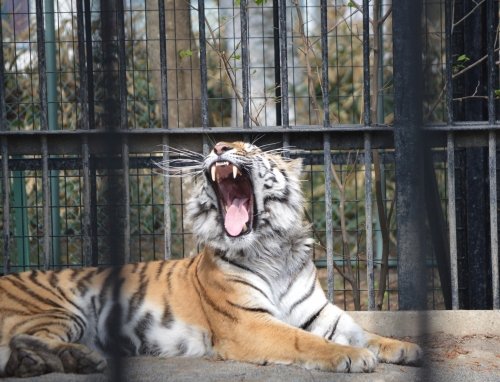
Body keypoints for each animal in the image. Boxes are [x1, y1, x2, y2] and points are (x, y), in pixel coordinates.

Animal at [0, 140, 422, 376]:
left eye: (251, 148)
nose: (219, 147)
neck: (272, 249)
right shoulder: (248, 322)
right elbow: (303, 341)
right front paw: (351, 356)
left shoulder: (319, 314)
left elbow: (365, 332)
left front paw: (405, 348)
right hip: (58, 311)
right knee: (22, 338)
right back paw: (76, 360)